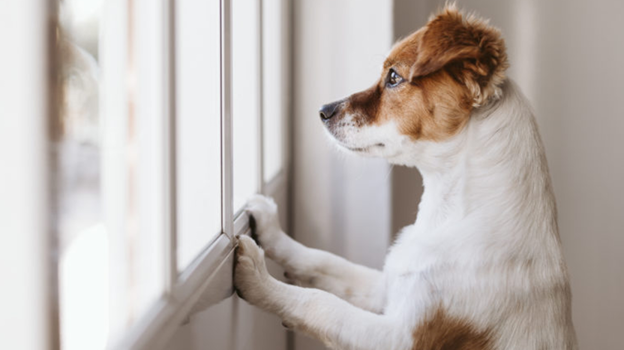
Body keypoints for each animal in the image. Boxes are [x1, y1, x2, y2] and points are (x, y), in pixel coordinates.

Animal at [235, 5, 580, 350]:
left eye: (393, 77)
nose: (323, 110)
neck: (448, 215)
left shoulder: (401, 337)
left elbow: (320, 303)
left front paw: (258, 278)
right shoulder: (387, 288)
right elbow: (323, 261)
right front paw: (271, 229)